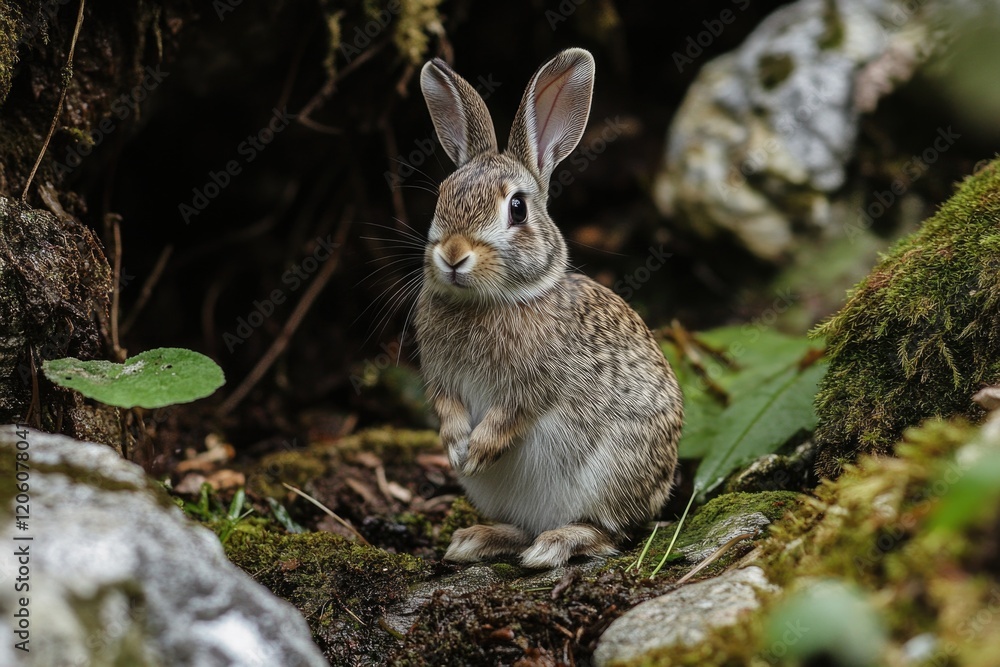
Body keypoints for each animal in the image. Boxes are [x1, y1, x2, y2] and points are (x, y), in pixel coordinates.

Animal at [414, 48, 683, 569]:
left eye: (517, 208)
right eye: (441, 196)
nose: (453, 255)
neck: (490, 300)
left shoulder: (533, 386)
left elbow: (510, 414)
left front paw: (476, 450)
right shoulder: (440, 378)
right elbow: (447, 406)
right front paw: (456, 449)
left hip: (613, 472)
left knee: (610, 533)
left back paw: (555, 545)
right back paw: (477, 540)